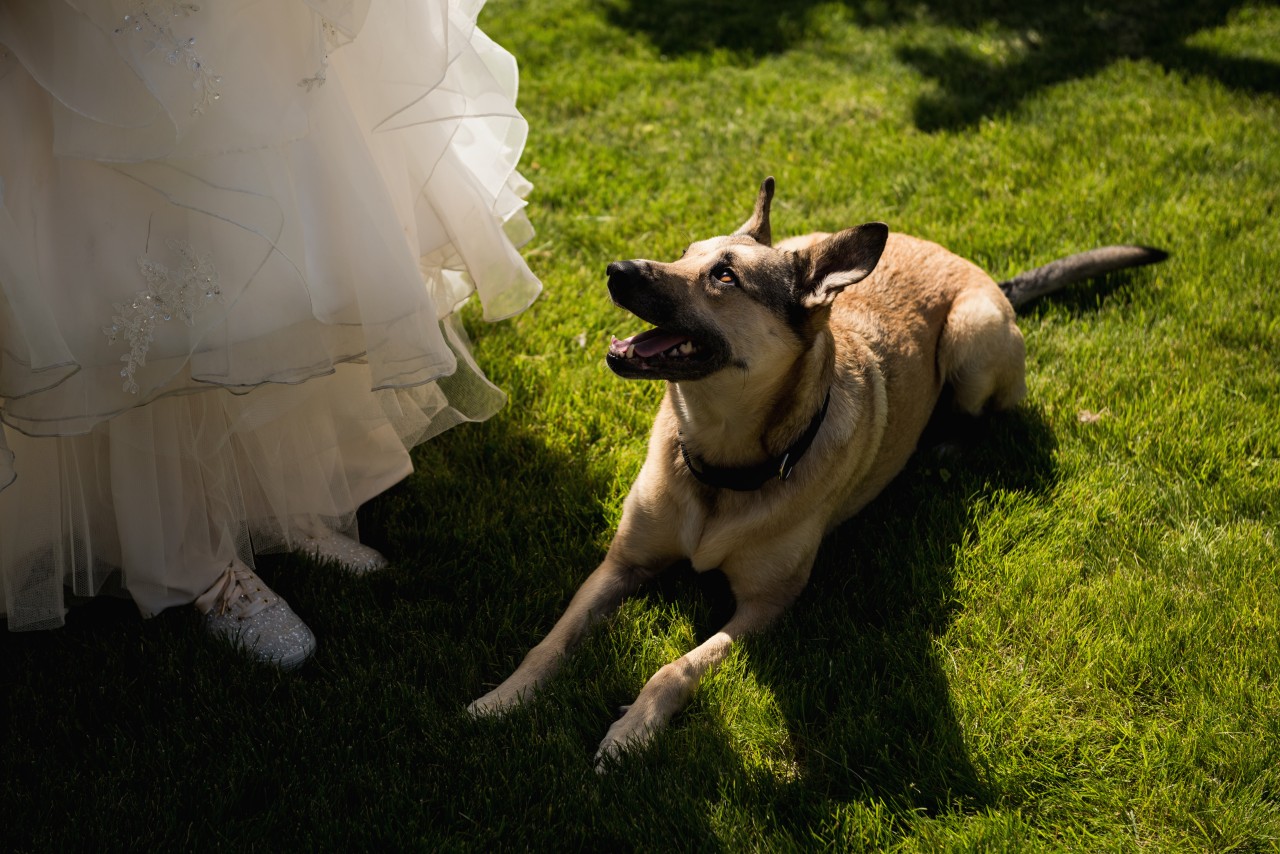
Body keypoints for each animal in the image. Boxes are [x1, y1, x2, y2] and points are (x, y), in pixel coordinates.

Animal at [473, 179, 1172, 768]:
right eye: (685, 253)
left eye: (723, 276)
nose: (615, 271)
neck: (720, 463)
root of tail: (979, 270)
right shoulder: (622, 563)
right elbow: (553, 639)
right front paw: (503, 698)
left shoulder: (765, 605)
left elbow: (677, 668)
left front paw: (631, 732)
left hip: (973, 339)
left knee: (982, 417)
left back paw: (943, 446)